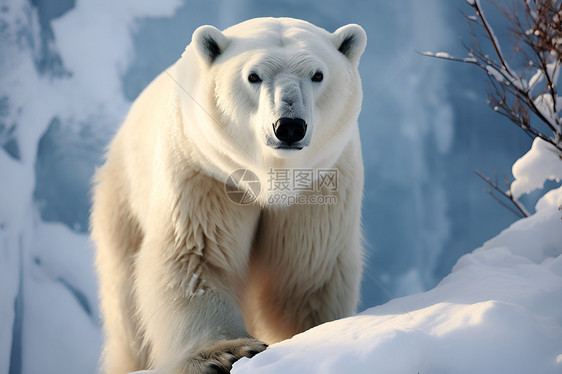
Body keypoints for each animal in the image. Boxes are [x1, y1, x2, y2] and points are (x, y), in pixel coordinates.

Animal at [90, 17, 366, 374]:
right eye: (253, 76)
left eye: (317, 75)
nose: (289, 126)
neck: (269, 180)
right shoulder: (206, 173)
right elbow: (197, 257)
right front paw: (227, 352)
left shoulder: (317, 187)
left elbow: (304, 274)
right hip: (123, 200)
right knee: (125, 307)